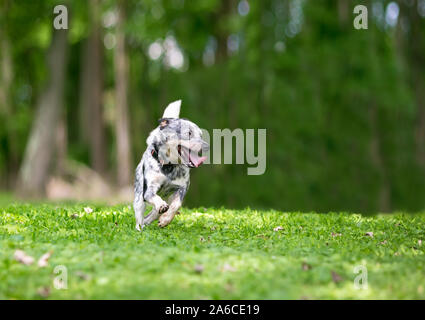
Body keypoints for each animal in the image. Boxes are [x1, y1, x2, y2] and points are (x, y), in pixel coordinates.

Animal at [133, 100, 208, 230]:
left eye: (201, 135)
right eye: (188, 133)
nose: (207, 146)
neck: (169, 167)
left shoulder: (182, 188)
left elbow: (176, 204)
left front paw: (165, 219)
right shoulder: (148, 190)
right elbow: (154, 198)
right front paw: (161, 206)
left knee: (153, 214)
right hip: (139, 197)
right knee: (140, 216)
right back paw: (140, 227)